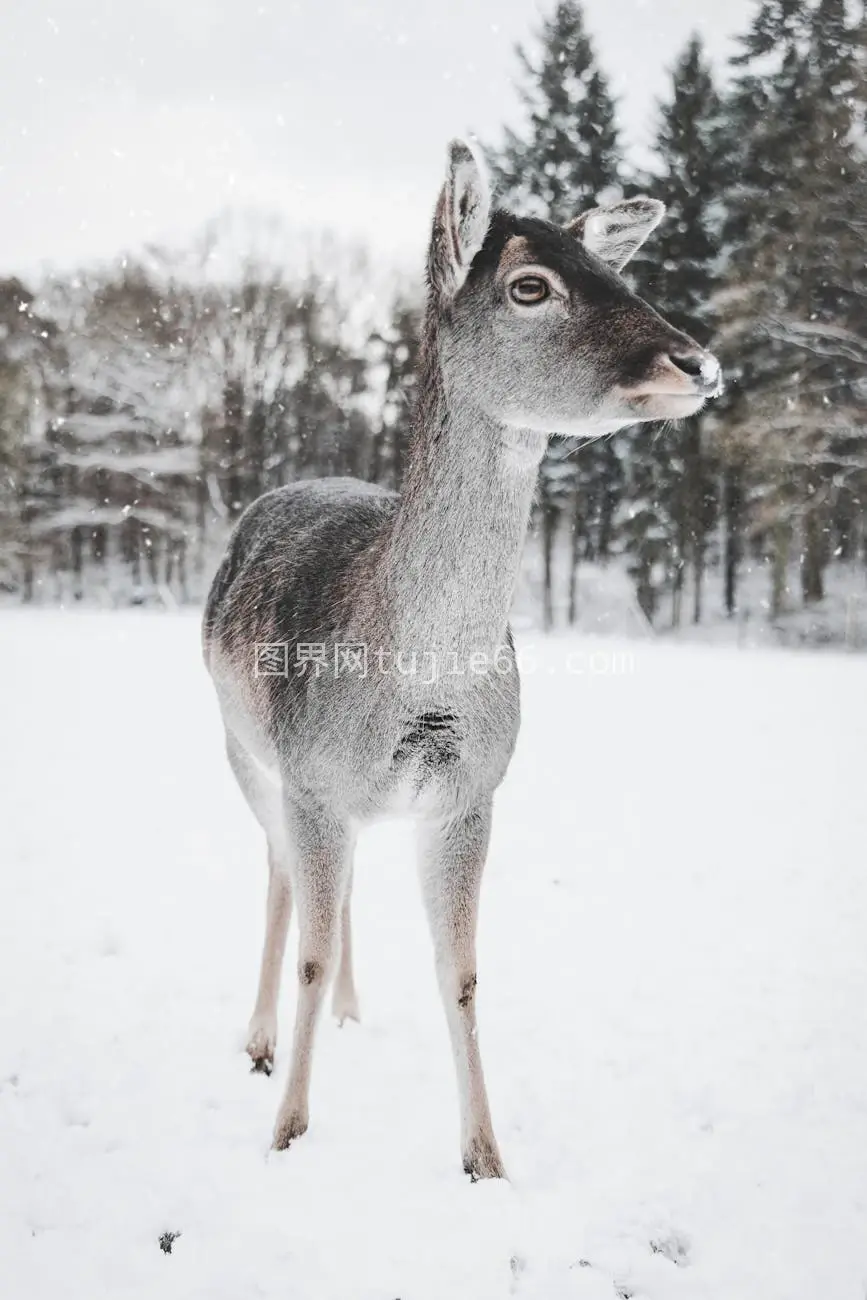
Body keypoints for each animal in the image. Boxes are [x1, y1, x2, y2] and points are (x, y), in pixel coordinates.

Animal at [201, 139, 717, 1180]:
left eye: (618, 270)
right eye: (529, 285)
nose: (696, 360)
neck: (420, 686)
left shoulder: (471, 791)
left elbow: (463, 970)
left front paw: (485, 1157)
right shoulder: (312, 778)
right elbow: (310, 946)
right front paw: (287, 1132)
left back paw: (351, 1012)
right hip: (242, 749)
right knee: (278, 874)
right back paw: (260, 1041)